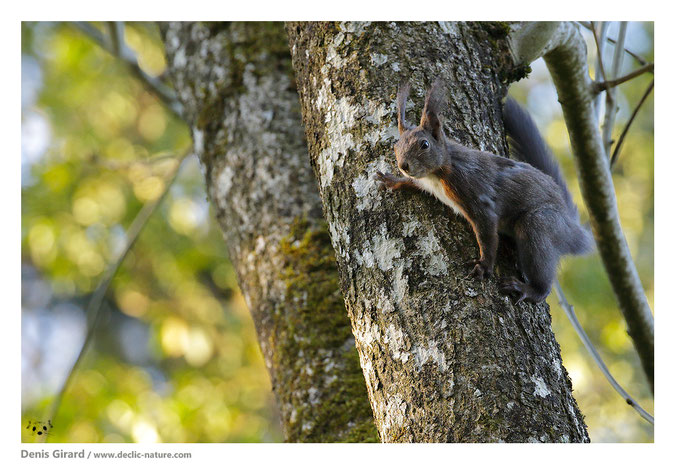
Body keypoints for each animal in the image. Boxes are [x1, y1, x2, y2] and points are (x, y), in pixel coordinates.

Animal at [378, 81, 596, 302]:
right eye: (395, 146)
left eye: (424, 144)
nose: (403, 165)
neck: (438, 172)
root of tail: (572, 228)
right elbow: (414, 183)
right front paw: (395, 181)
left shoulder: (473, 191)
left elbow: (487, 234)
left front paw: (484, 265)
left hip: (544, 224)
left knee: (541, 271)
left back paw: (529, 289)